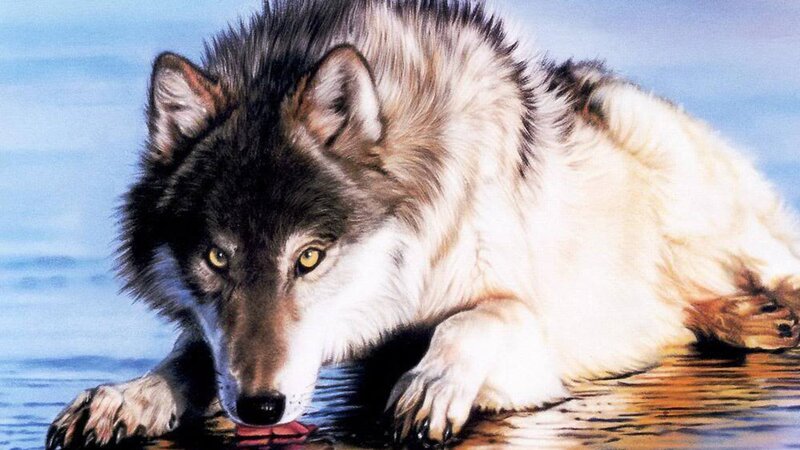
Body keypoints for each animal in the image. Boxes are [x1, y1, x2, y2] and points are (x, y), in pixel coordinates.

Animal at [47, 0, 800, 448]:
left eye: (310, 258)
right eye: (217, 259)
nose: (261, 409)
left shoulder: (525, 329)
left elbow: (474, 319)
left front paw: (430, 385)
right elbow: (194, 355)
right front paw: (127, 397)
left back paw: (755, 314)